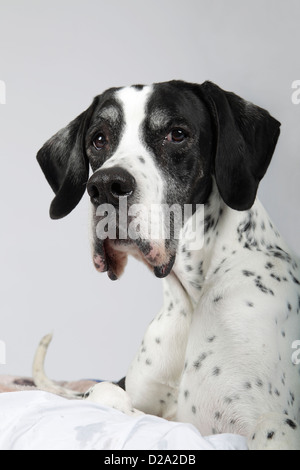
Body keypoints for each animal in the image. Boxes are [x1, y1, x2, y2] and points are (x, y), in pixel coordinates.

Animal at [33, 81, 300, 452]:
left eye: (177, 134)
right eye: (99, 139)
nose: (105, 186)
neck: (193, 297)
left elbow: (273, 426)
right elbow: (105, 392)